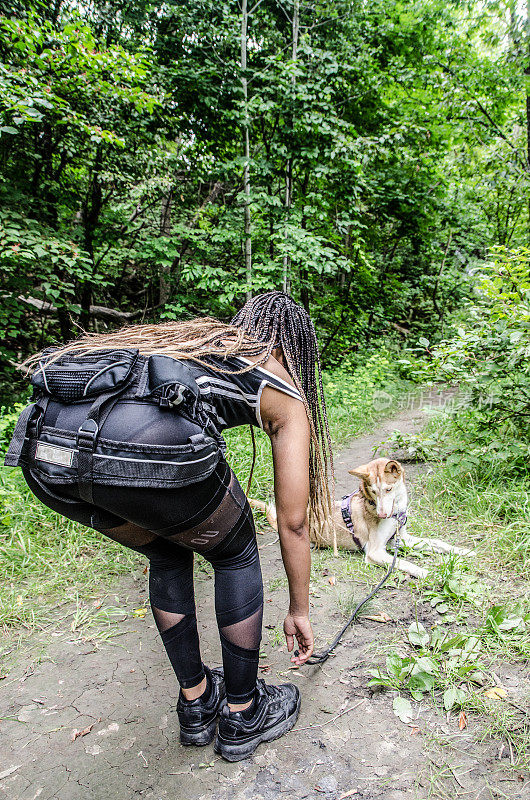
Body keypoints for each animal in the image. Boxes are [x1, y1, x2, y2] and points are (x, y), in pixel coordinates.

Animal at [250, 460, 472, 580]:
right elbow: (404, 562)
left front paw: (463, 551)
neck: (395, 512)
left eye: (388, 489)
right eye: (373, 491)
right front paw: (427, 572)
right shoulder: (375, 552)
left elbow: (437, 542)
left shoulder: (403, 539)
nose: (382, 514)